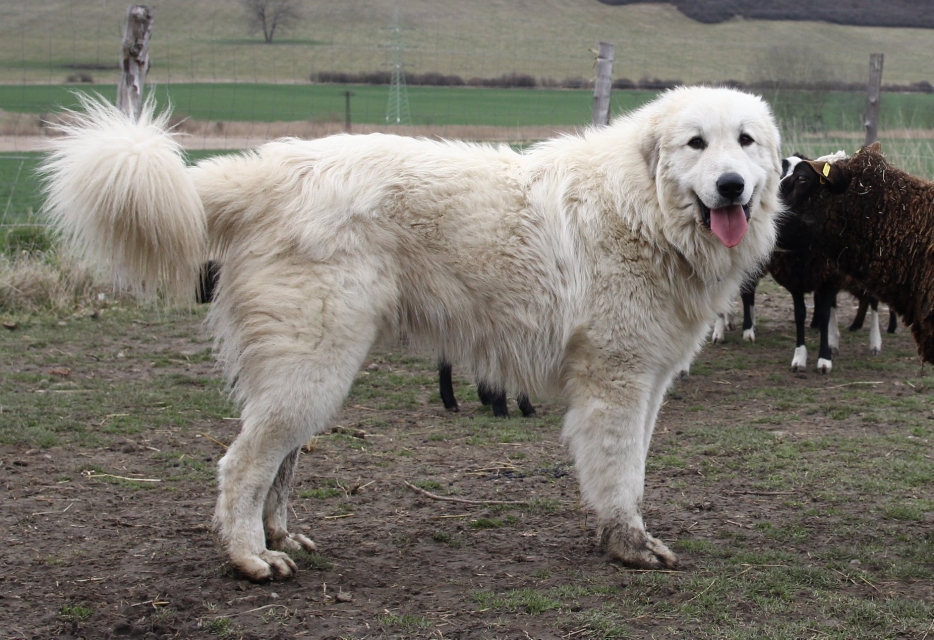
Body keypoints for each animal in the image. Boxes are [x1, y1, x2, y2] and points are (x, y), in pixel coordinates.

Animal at [41, 86, 782, 581]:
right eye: (696, 143)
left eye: (745, 142)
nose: (731, 185)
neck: (641, 209)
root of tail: (271, 169)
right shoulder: (615, 384)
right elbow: (620, 475)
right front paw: (628, 544)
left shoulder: (646, 384)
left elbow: (631, 473)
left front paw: (619, 536)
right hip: (314, 366)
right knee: (243, 464)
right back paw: (251, 557)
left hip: (309, 372)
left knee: (278, 462)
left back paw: (281, 537)